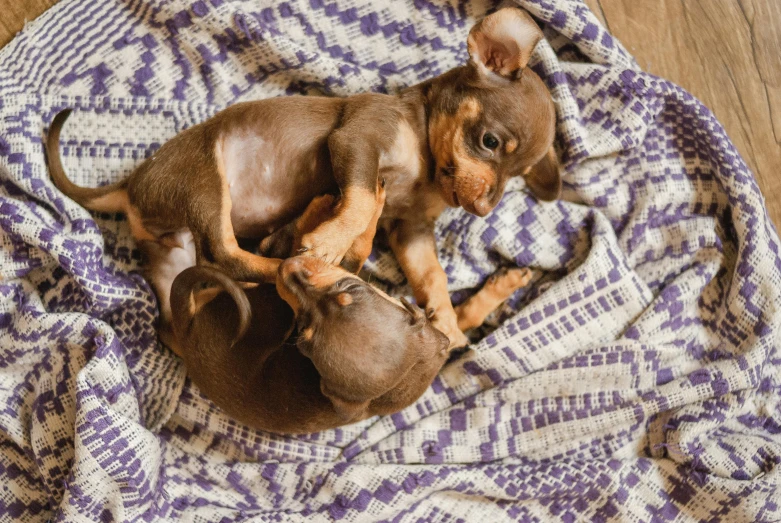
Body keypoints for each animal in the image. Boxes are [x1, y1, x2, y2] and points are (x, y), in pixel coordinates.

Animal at [45, 7, 556, 348]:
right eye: (489, 142)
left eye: (519, 176)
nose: (484, 209)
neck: (426, 164)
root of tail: (130, 188)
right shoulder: (357, 140)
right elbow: (362, 199)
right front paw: (330, 242)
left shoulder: (411, 232)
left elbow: (434, 279)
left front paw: (445, 319)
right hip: (206, 179)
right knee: (228, 254)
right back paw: (307, 264)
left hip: (173, 254)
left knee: (189, 300)